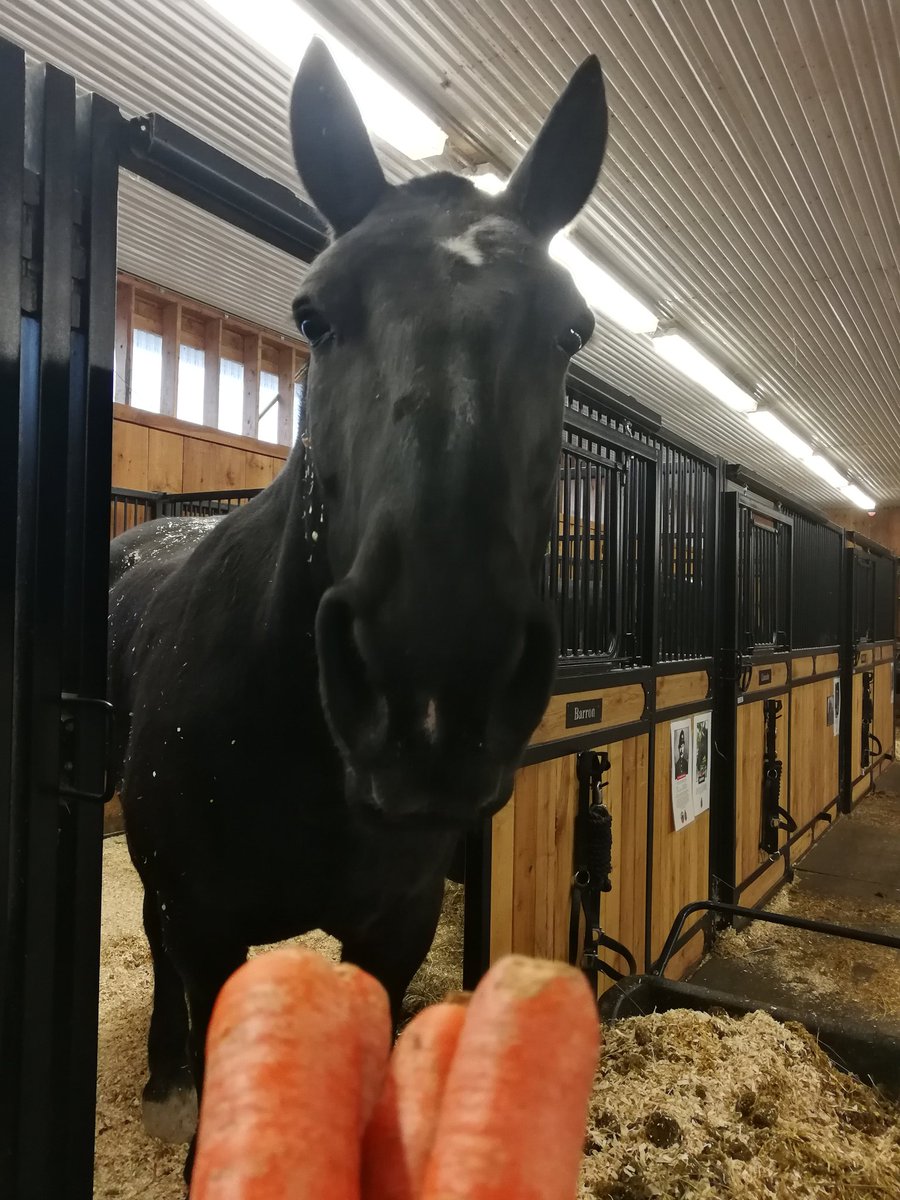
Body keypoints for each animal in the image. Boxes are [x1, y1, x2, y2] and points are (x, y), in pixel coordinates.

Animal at [109, 37, 609, 1161]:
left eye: (571, 330)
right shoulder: (210, 924)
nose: (435, 691)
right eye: (313, 315)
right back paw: (164, 1078)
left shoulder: (397, 924)